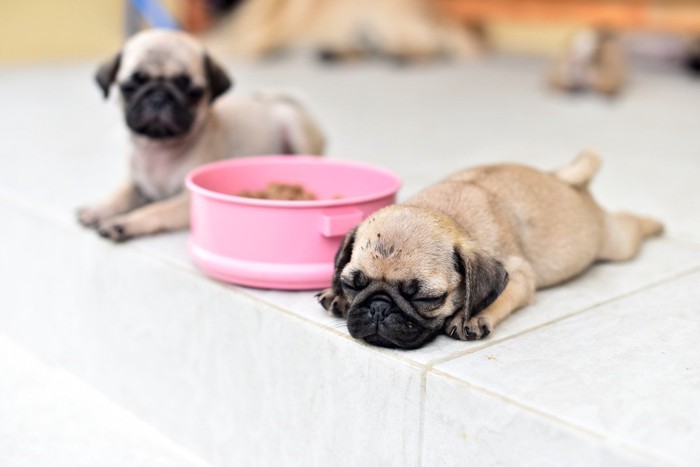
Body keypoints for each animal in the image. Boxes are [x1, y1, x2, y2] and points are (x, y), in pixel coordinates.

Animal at [78, 29, 326, 241]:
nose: (158, 97)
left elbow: (157, 208)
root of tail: (286, 101)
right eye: (129, 87)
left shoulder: (185, 200)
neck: (160, 149)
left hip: (295, 126)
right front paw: (99, 208)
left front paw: (124, 222)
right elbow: (120, 195)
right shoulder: (138, 185)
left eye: (192, 91)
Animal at [318, 154, 660, 352]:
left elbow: (499, 295)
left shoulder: (519, 274)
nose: (378, 307)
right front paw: (336, 295)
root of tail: (566, 180)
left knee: (628, 224)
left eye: (428, 299)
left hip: (615, 243)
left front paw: (472, 315)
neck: (447, 213)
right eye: (353, 284)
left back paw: (653, 224)